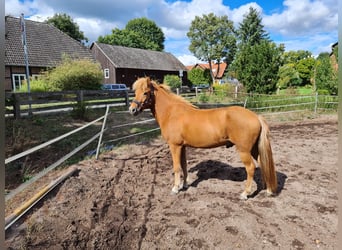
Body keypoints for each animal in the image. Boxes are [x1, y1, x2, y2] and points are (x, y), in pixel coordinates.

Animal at [129, 77, 278, 199]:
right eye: (135, 92)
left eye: (145, 92)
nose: (132, 110)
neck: (172, 113)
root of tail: (256, 116)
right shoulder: (182, 147)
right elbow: (184, 165)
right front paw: (184, 185)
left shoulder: (174, 146)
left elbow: (176, 167)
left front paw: (175, 188)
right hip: (254, 149)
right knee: (263, 164)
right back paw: (267, 189)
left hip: (244, 151)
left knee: (251, 168)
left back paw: (245, 194)